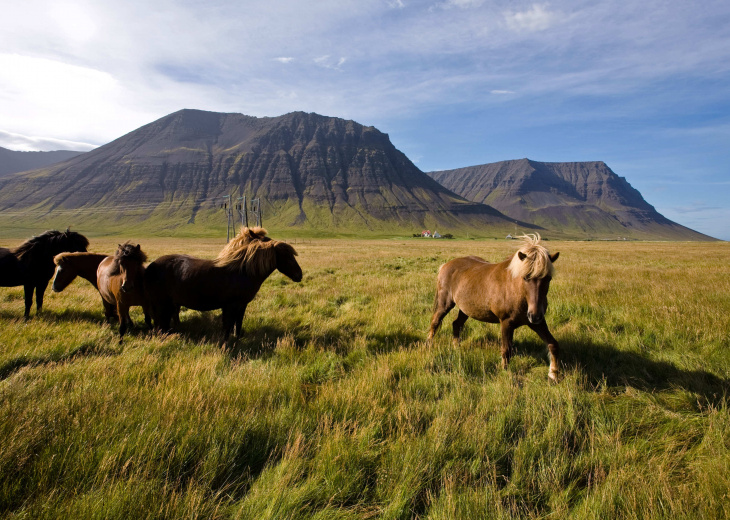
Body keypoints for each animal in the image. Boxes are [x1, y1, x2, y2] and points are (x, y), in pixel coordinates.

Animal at [142, 226, 302, 342]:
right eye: (287, 256)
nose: (299, 275)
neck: (241, 272)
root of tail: (150, 267)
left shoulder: (241, 305)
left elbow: (237, 324)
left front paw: (236, 340)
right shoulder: (230, 306)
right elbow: (227, 326)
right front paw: (225, 345)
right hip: (161, 304)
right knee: (160, 326)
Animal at [424, 234, 560, 380]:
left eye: (548, 278)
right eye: (525, 278)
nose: (534, 315)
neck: (517, 290)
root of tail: (446, 265)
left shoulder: (537, 323)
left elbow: (553, 344)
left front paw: (553, 374)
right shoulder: (506, 323)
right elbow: (506, 350)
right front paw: (504, 372)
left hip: (465, 309)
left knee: (457, 324)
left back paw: (456, 348)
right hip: (445, 304)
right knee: (435, 322)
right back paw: (429, 345)